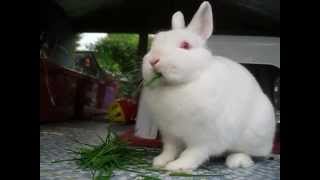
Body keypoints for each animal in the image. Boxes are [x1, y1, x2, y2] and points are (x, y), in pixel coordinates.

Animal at [139, 0, 276, 171]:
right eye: (155, 42)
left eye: (185, 45)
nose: (153, 60)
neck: (180, 84)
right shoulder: (170, 134)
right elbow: (170, 150)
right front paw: (159, 162)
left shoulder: (204, 139)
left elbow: (192, 153)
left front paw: (178, 166)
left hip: (253, 137)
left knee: (248, 154)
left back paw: (237, 161)